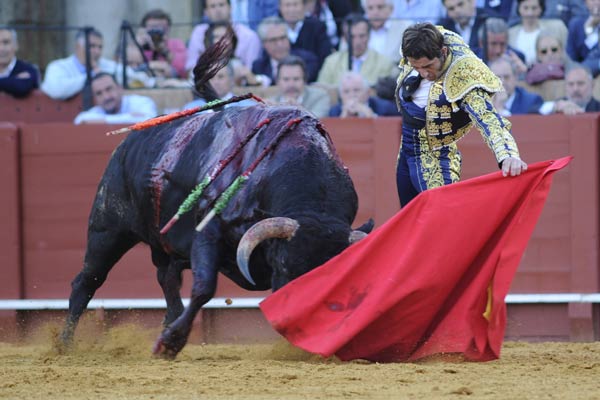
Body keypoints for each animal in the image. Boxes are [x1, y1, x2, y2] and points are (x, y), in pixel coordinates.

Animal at [59, 35, 370, 360]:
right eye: (285, 266)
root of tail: (129, 141)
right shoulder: (208, 231)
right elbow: (204, 288)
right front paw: (171, 343)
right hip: (108, 229)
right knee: (87, 280)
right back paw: (65, 344)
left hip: (164, 245)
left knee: (167, 280)